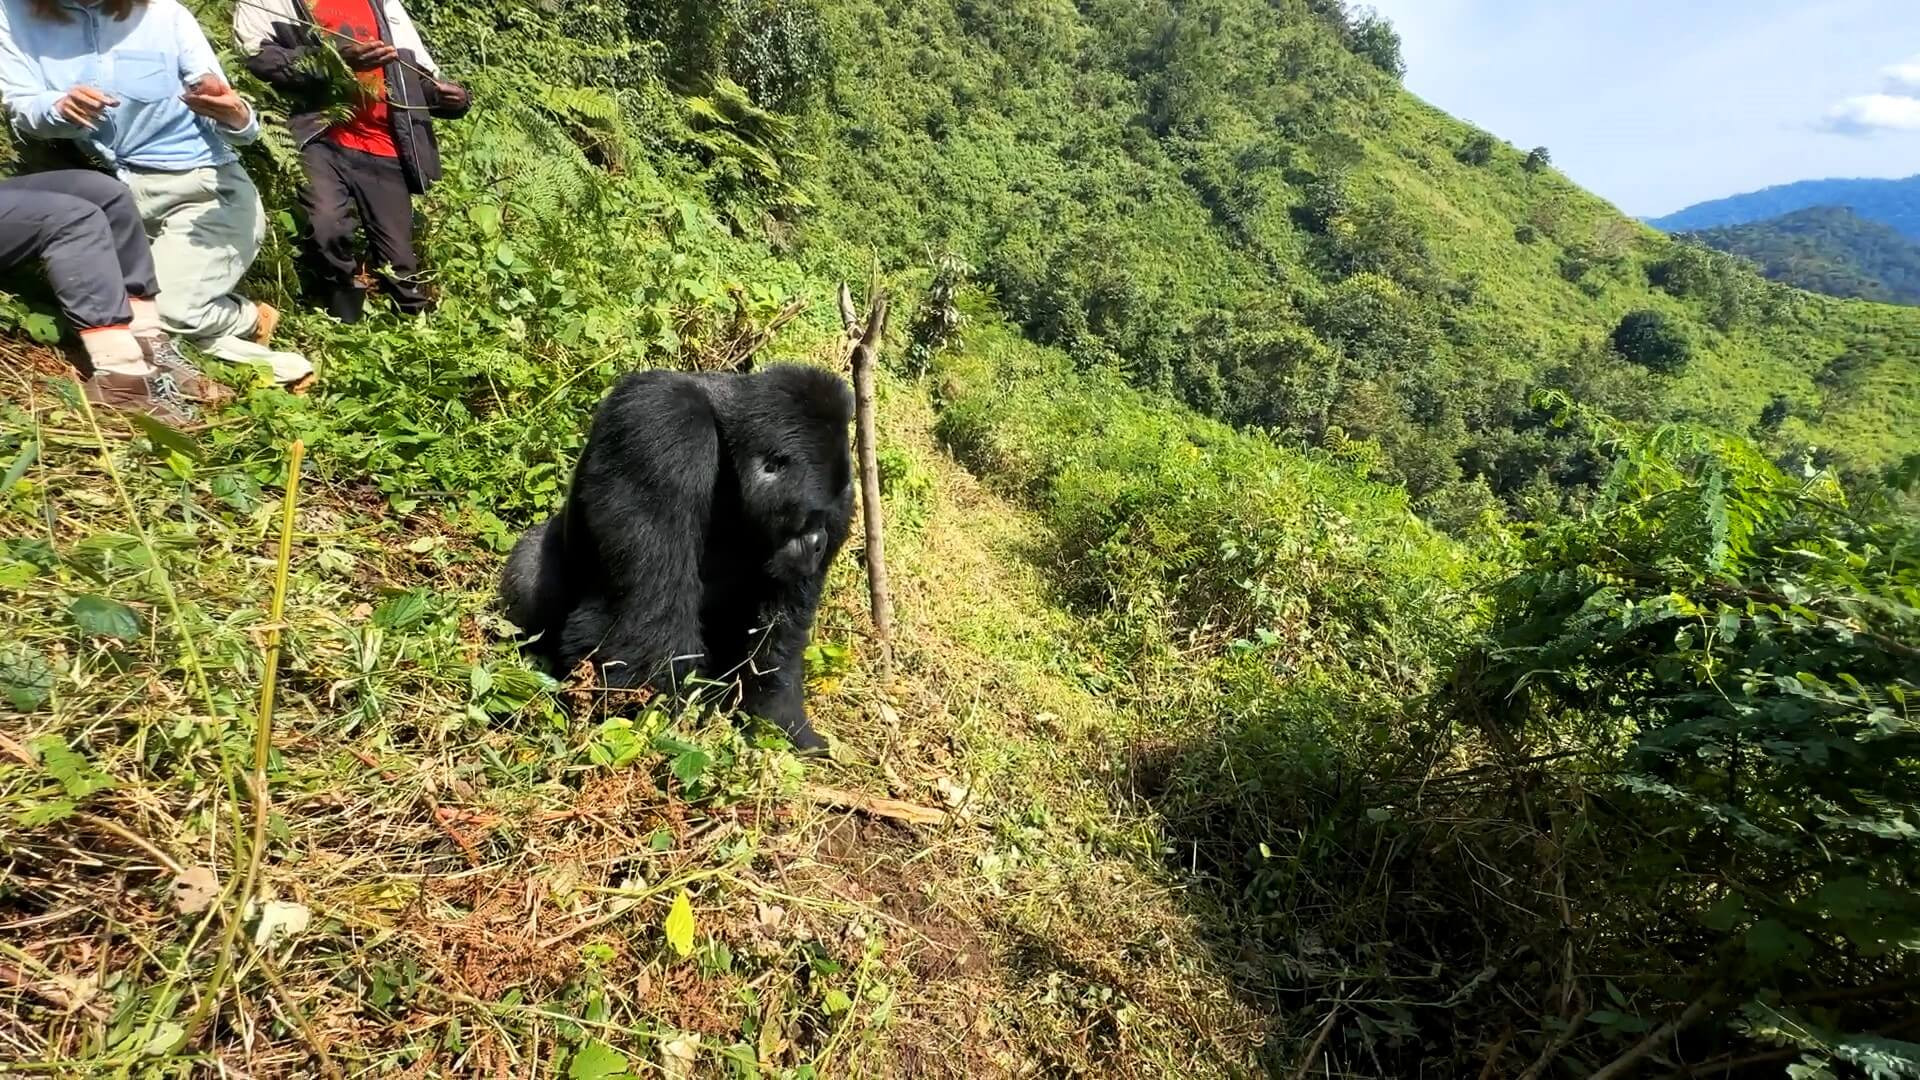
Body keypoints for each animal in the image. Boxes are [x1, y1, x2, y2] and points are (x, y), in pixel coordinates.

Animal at [503, 361, 856, 749]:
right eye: (809, 518)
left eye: (824, 518)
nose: (819, 543)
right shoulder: (662, 423)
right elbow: (648, 616)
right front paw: (656, 721)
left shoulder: (844, 499)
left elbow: (779, 638)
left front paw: (781, 722)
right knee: (530, 561)